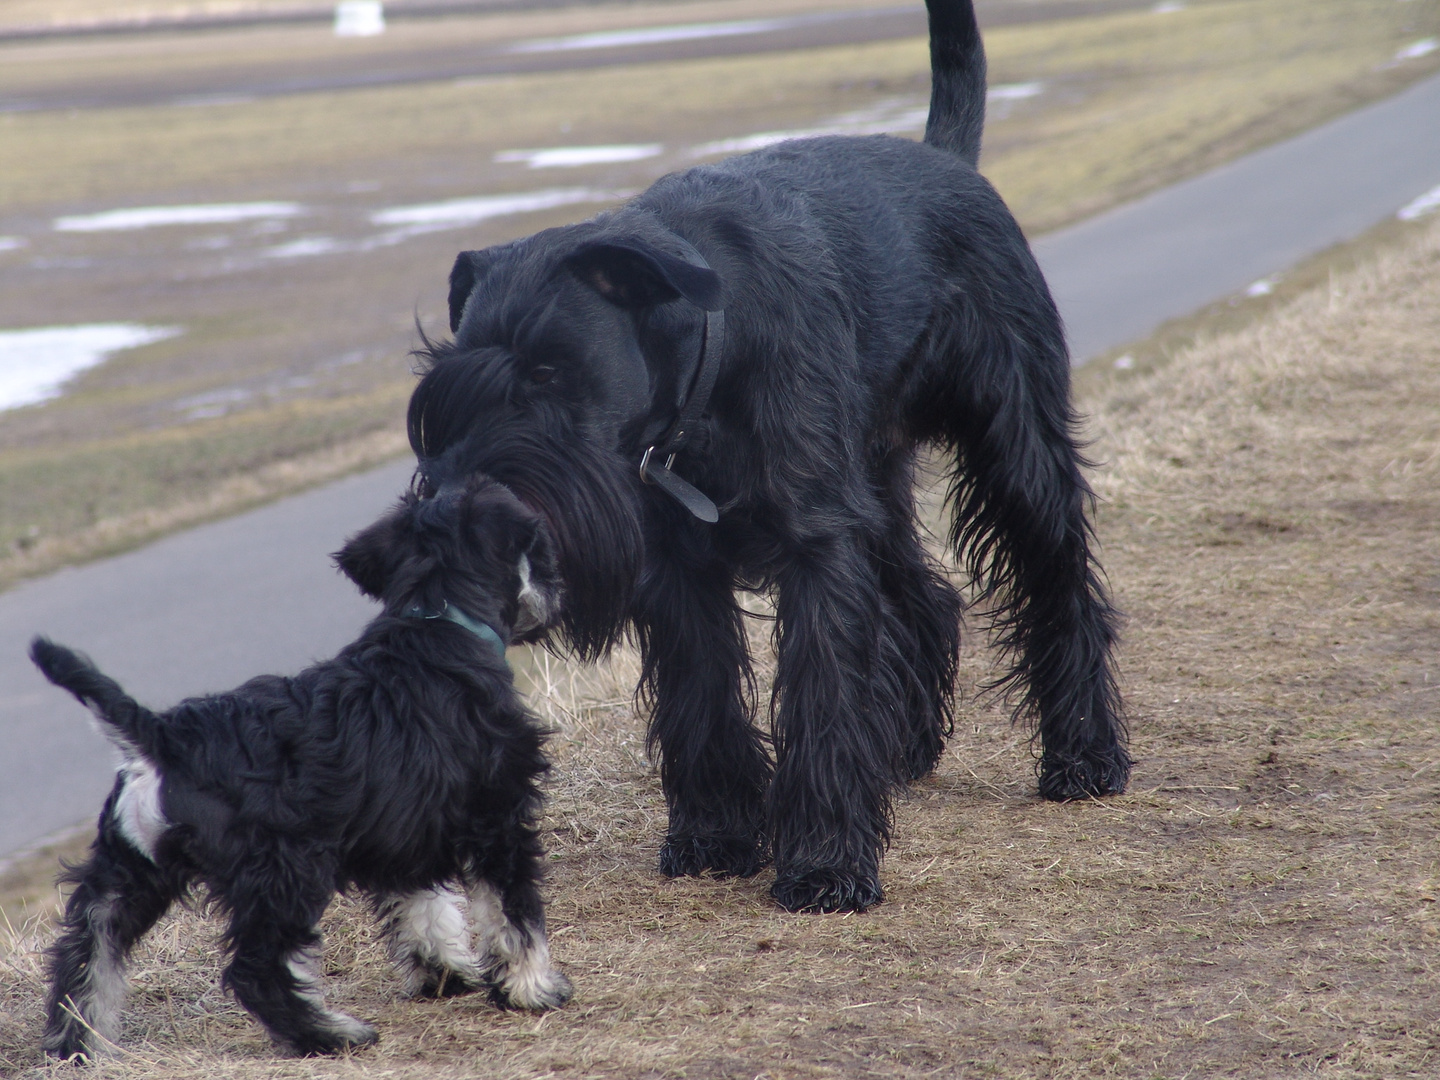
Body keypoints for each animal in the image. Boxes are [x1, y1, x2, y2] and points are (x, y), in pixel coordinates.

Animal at [30, 478, 570, 1059]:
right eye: (539, 551)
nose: (558, 593)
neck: (441, 622)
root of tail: (164, 737)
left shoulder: (405, 835)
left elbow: (425, 912)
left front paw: (445, 975)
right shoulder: (498, 818)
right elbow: (512, 912)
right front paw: (532, 989)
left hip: (129, 874)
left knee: (87, 948)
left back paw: (77, 1043)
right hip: (284, 877)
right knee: (257, 971)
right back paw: (330, 1034)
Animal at [411, 0, 1128, 915]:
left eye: (545, 372)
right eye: (446, 394)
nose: (456, 512)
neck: (703, 380)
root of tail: (943, 158)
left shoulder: (818, 541)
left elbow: (819, 691)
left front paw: (825, 864)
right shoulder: (684, 568)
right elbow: (702, 695)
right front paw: (717, 835)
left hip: (1017, 452)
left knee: (1057, 579)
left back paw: (1084, 756)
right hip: (873, 480)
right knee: (924, 595)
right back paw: (901, 749)